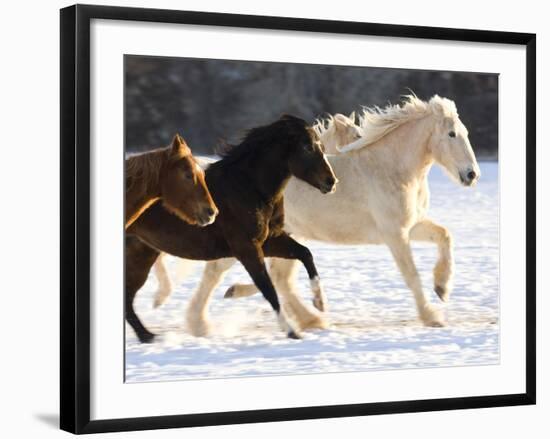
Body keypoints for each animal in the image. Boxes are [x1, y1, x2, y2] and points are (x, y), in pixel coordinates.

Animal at [126, 115, 338, 342]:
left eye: (321, 146)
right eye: (307, 147)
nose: (331, 182)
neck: (249, 188)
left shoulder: (270, 240)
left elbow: (305, 253)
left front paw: (320, 302)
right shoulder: (246, 248)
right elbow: (268, 288)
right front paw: (291, 330)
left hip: (142, 255)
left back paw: (148, 335)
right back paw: (149, 333)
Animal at [157, 96, 480, 336]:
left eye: (465, 133)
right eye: (452, 134)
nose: (471, 175)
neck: (391, 169)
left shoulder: (410, 226)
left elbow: (445, 235)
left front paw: (442, 288)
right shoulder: (394, 234)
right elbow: (411, 275)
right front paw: (432, 316)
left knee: (280, 279)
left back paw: (310, 318)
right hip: (248, 240)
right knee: (219, 272)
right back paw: (200, 324)